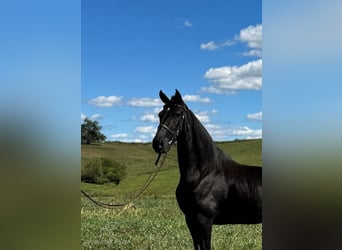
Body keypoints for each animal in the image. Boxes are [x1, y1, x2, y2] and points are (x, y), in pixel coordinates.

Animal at [152, 89, 262, 248]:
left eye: (177, 114)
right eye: (160, 114)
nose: (158, 143)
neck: (204, 173)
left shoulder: (204, 221)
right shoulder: (191, 220)